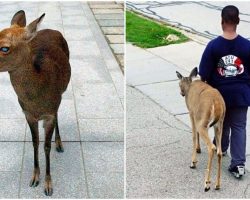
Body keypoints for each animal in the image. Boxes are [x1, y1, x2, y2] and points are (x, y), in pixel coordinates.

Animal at [0, 10, 71, 196]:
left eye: (5, 48)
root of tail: (51, 29)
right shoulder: (27, 114)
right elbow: (35, 143)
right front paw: (34, 177)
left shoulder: (49, 113)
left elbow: (46, 146)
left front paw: (48, 185)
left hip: (63, 90)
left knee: (58, 111)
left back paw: (59, 143)